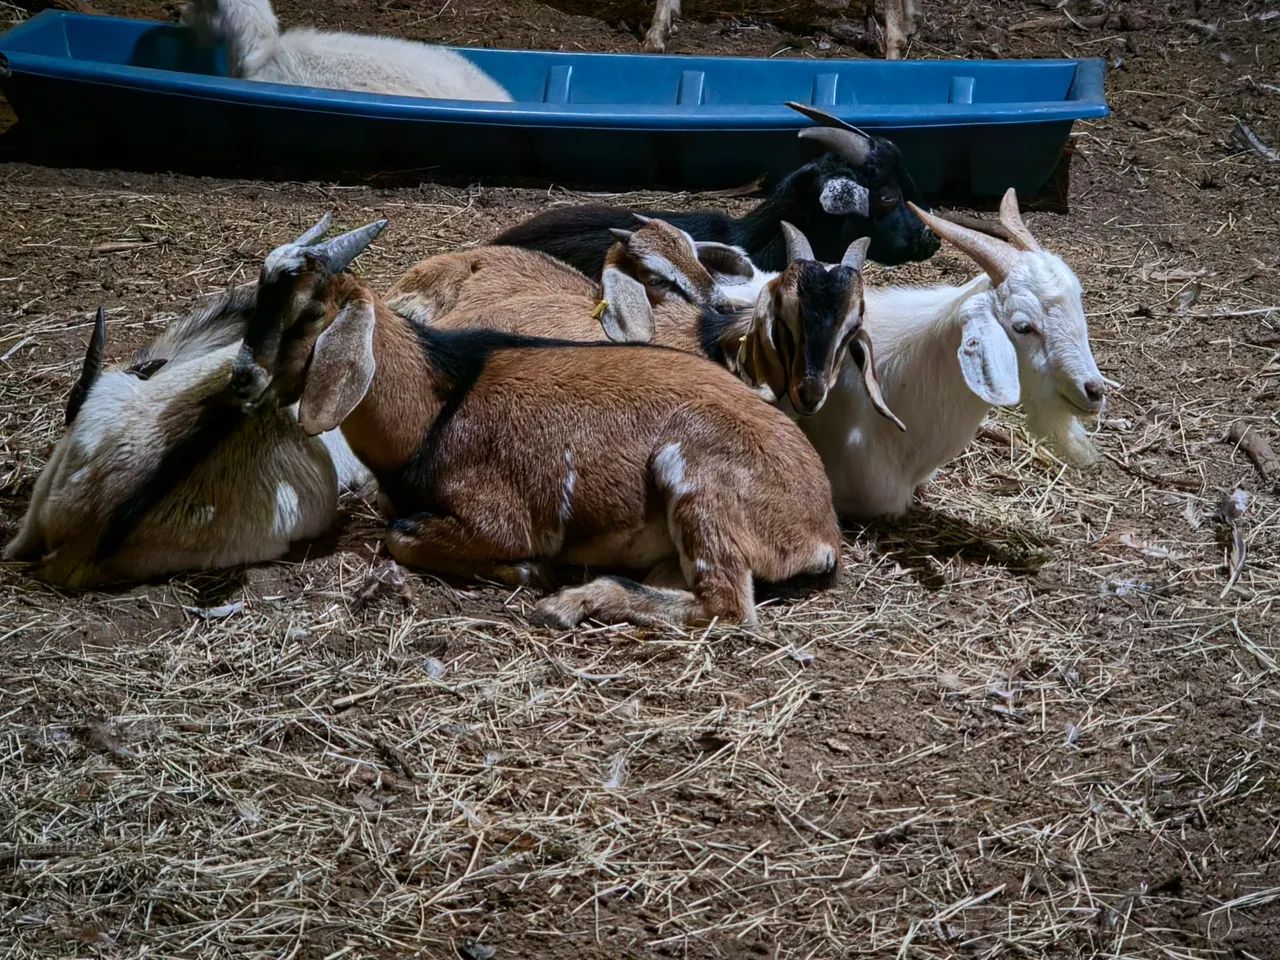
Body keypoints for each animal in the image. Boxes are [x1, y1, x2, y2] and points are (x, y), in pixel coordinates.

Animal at [231, 217, 842, 628]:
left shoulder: (498, 518)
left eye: (311, 312)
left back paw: (569, 601)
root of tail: (821, 524)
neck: (437, 403)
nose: (242, 378)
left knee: (727, 604)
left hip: (697, 481)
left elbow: (401, 537)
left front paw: (530, 571)